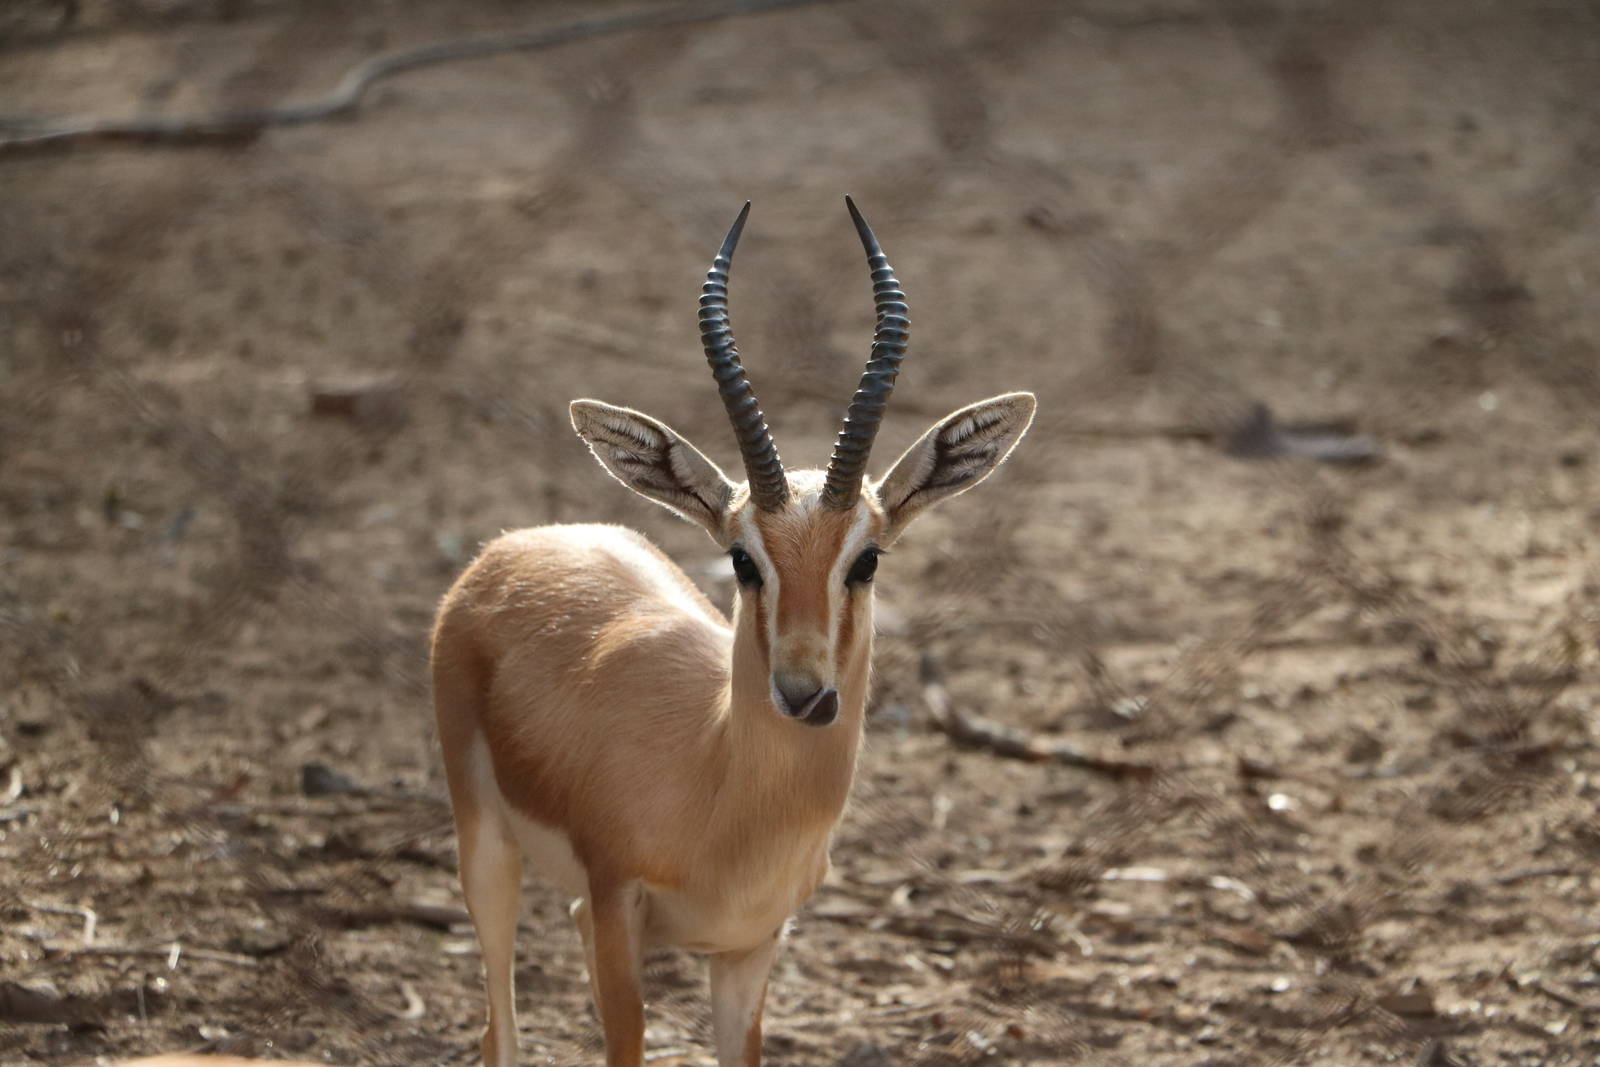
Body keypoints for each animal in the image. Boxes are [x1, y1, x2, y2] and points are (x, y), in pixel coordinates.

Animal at [431, 197, 1035, 1067]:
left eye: (868, 558)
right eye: (743, 558)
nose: (805, 692)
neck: (720, 784)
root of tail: (518, 544)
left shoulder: (751, 946)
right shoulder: (617, 910)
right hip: (487, 850)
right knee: (499, 1027)